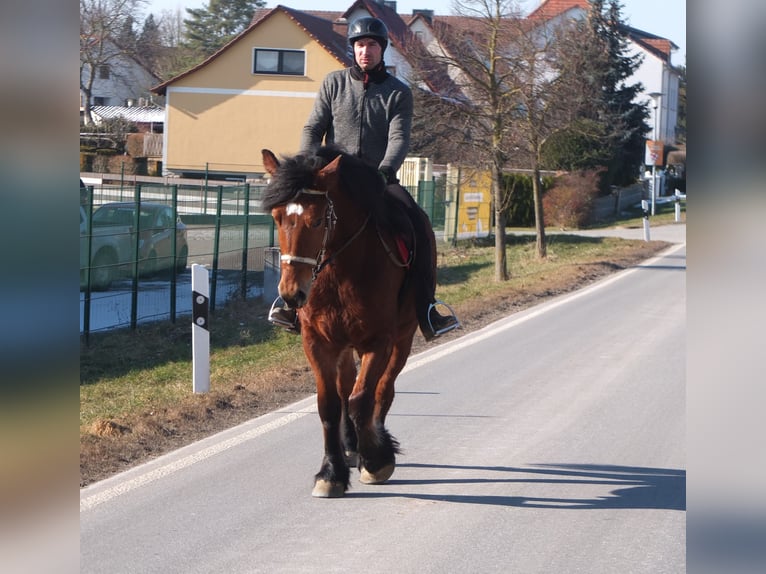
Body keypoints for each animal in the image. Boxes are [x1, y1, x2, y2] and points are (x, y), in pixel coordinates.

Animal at [260, 147, 436, 500]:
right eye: (277, 217)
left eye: (316, 220)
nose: (291, 294)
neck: (339, 272)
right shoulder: (319, 343)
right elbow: (330, 405)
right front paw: (331, 472)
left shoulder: (379, 342)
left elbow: (363, 398)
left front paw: (377, 461)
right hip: (343, 345)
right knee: (346, 388)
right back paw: (352, 445)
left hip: (403, 338)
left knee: (383, 390)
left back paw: (374, 443)